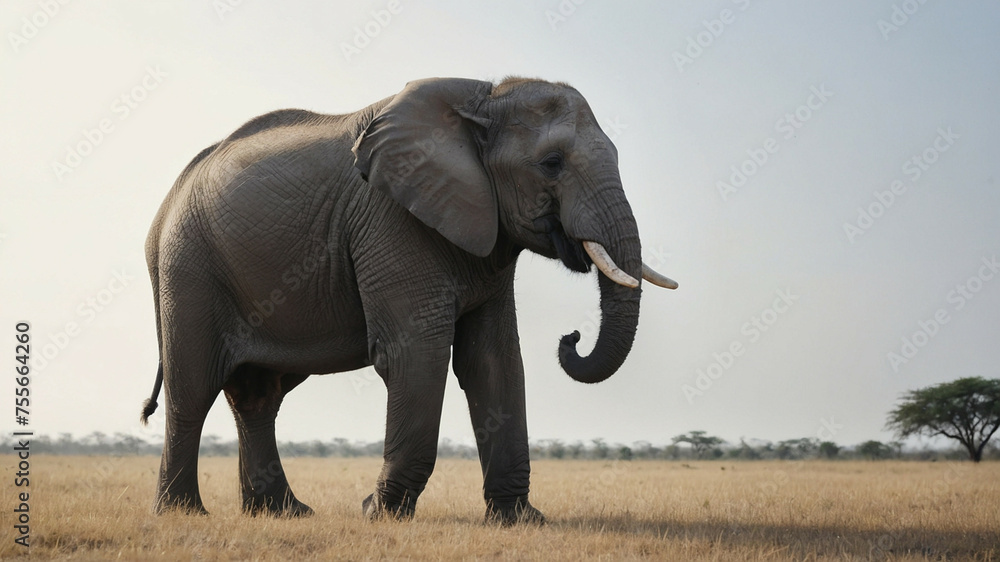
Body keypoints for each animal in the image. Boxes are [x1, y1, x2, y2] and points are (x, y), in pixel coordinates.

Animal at [140, 76, 677, 525]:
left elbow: (493, 359)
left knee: (258, 396)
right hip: (189, 268)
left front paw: (521, 521)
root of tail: (163, 210)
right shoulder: (391, 218)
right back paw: (184, 514)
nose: (571, 337)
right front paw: (379, 513)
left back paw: (283, 513)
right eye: (552, 164)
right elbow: (417, 353)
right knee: (193, 389)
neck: (484, 98)